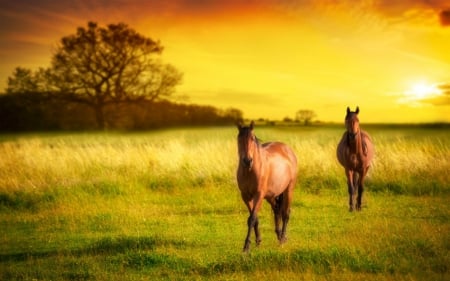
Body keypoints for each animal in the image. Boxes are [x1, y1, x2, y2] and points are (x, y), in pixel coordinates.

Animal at [236, 120, 298, 252]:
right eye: (239, 139)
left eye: (252, 138)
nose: (247, 161)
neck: (250, 171)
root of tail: (288, 150)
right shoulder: (245, 196)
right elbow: (254, 218)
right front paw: (258, 241)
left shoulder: (259, 195)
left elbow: (252, 219)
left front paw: (246, 247)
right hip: (271, 195)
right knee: (277, 210)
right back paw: (279, 236)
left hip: (289, 190)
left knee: (286, 213)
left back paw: (283, 239)